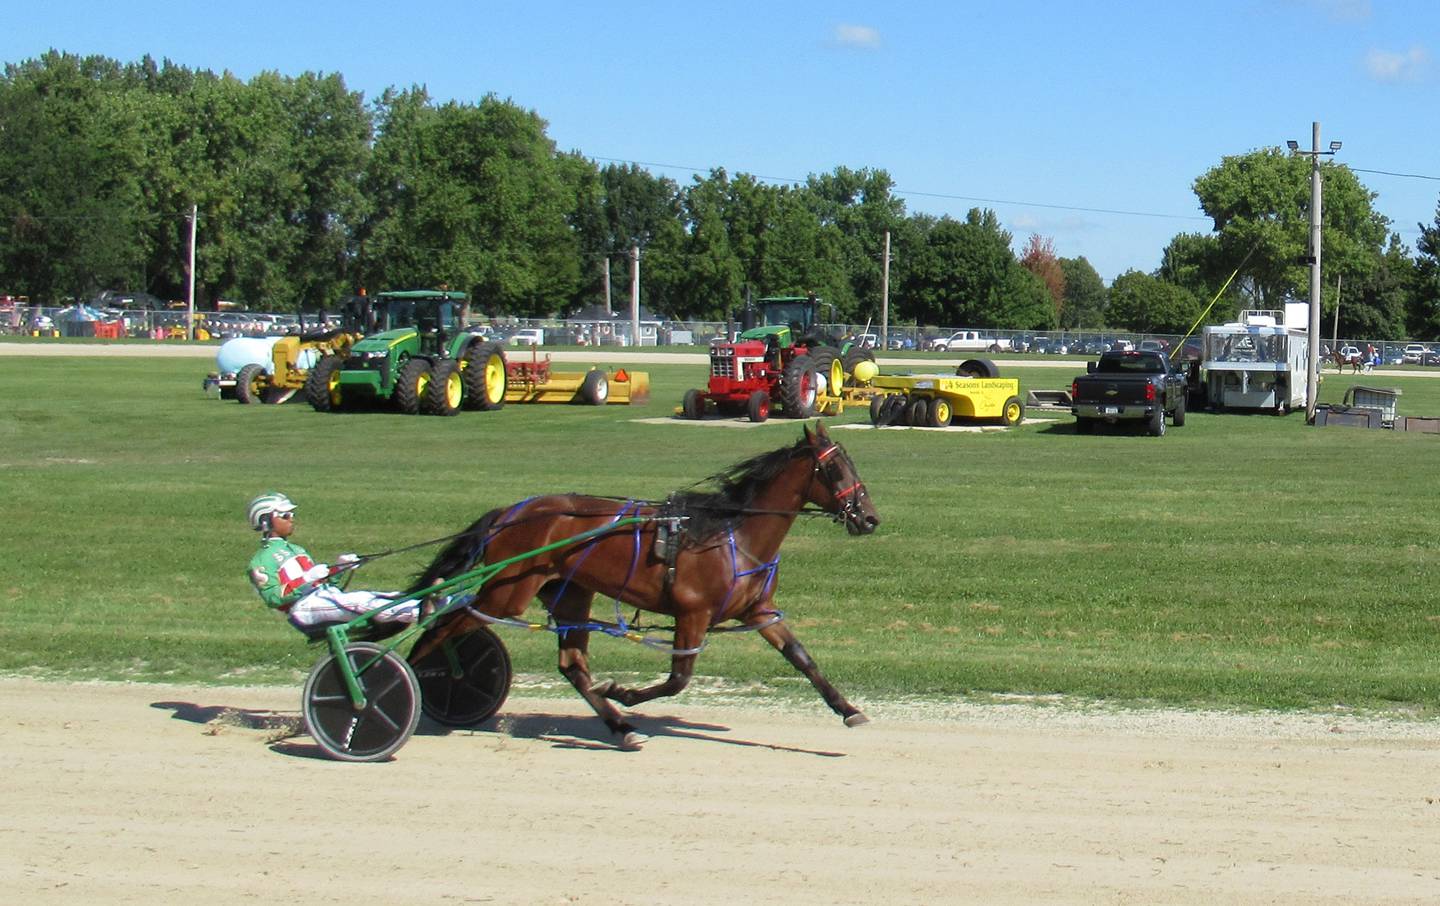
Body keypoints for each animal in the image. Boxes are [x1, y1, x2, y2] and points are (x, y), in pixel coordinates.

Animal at [406, 420, 875, 743]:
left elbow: (802, 658)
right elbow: (678, 679)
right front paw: (624, 691)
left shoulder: (758, 610)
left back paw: (620, 728)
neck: (733, 535)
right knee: (442, 627)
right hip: (505, 593)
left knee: (571, 665)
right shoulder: (692, 613)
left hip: (568, 592)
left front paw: (848, 709)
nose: (869, 518)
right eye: (835, 468)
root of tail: (510, 512)